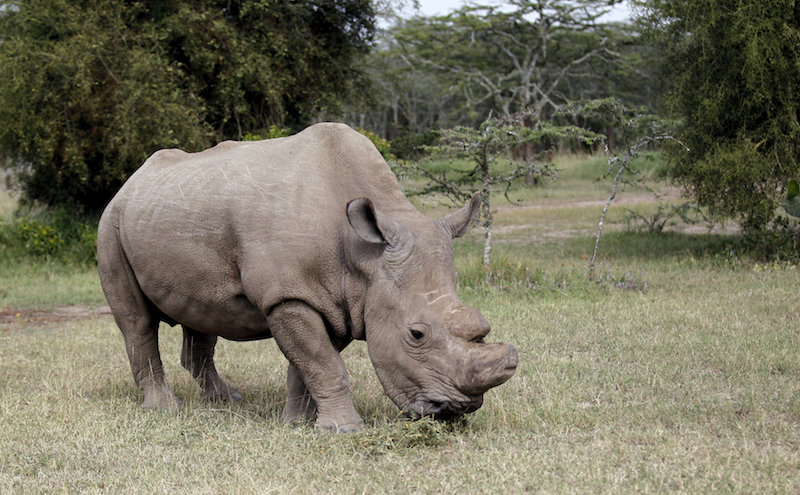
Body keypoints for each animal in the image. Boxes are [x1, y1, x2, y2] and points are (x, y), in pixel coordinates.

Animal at [97, 122, 517, 433]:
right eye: (416, 335)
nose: (454, 411)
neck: (364, 255)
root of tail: (130, 181)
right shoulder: (289, 296)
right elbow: (324, 363)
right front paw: (345, 430)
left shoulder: (339, 299)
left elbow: (309, 364)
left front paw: (300, 422)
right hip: (110, 223)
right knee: (137, 322)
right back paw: (165, 409)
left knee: (201, 313)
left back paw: (226, 400)